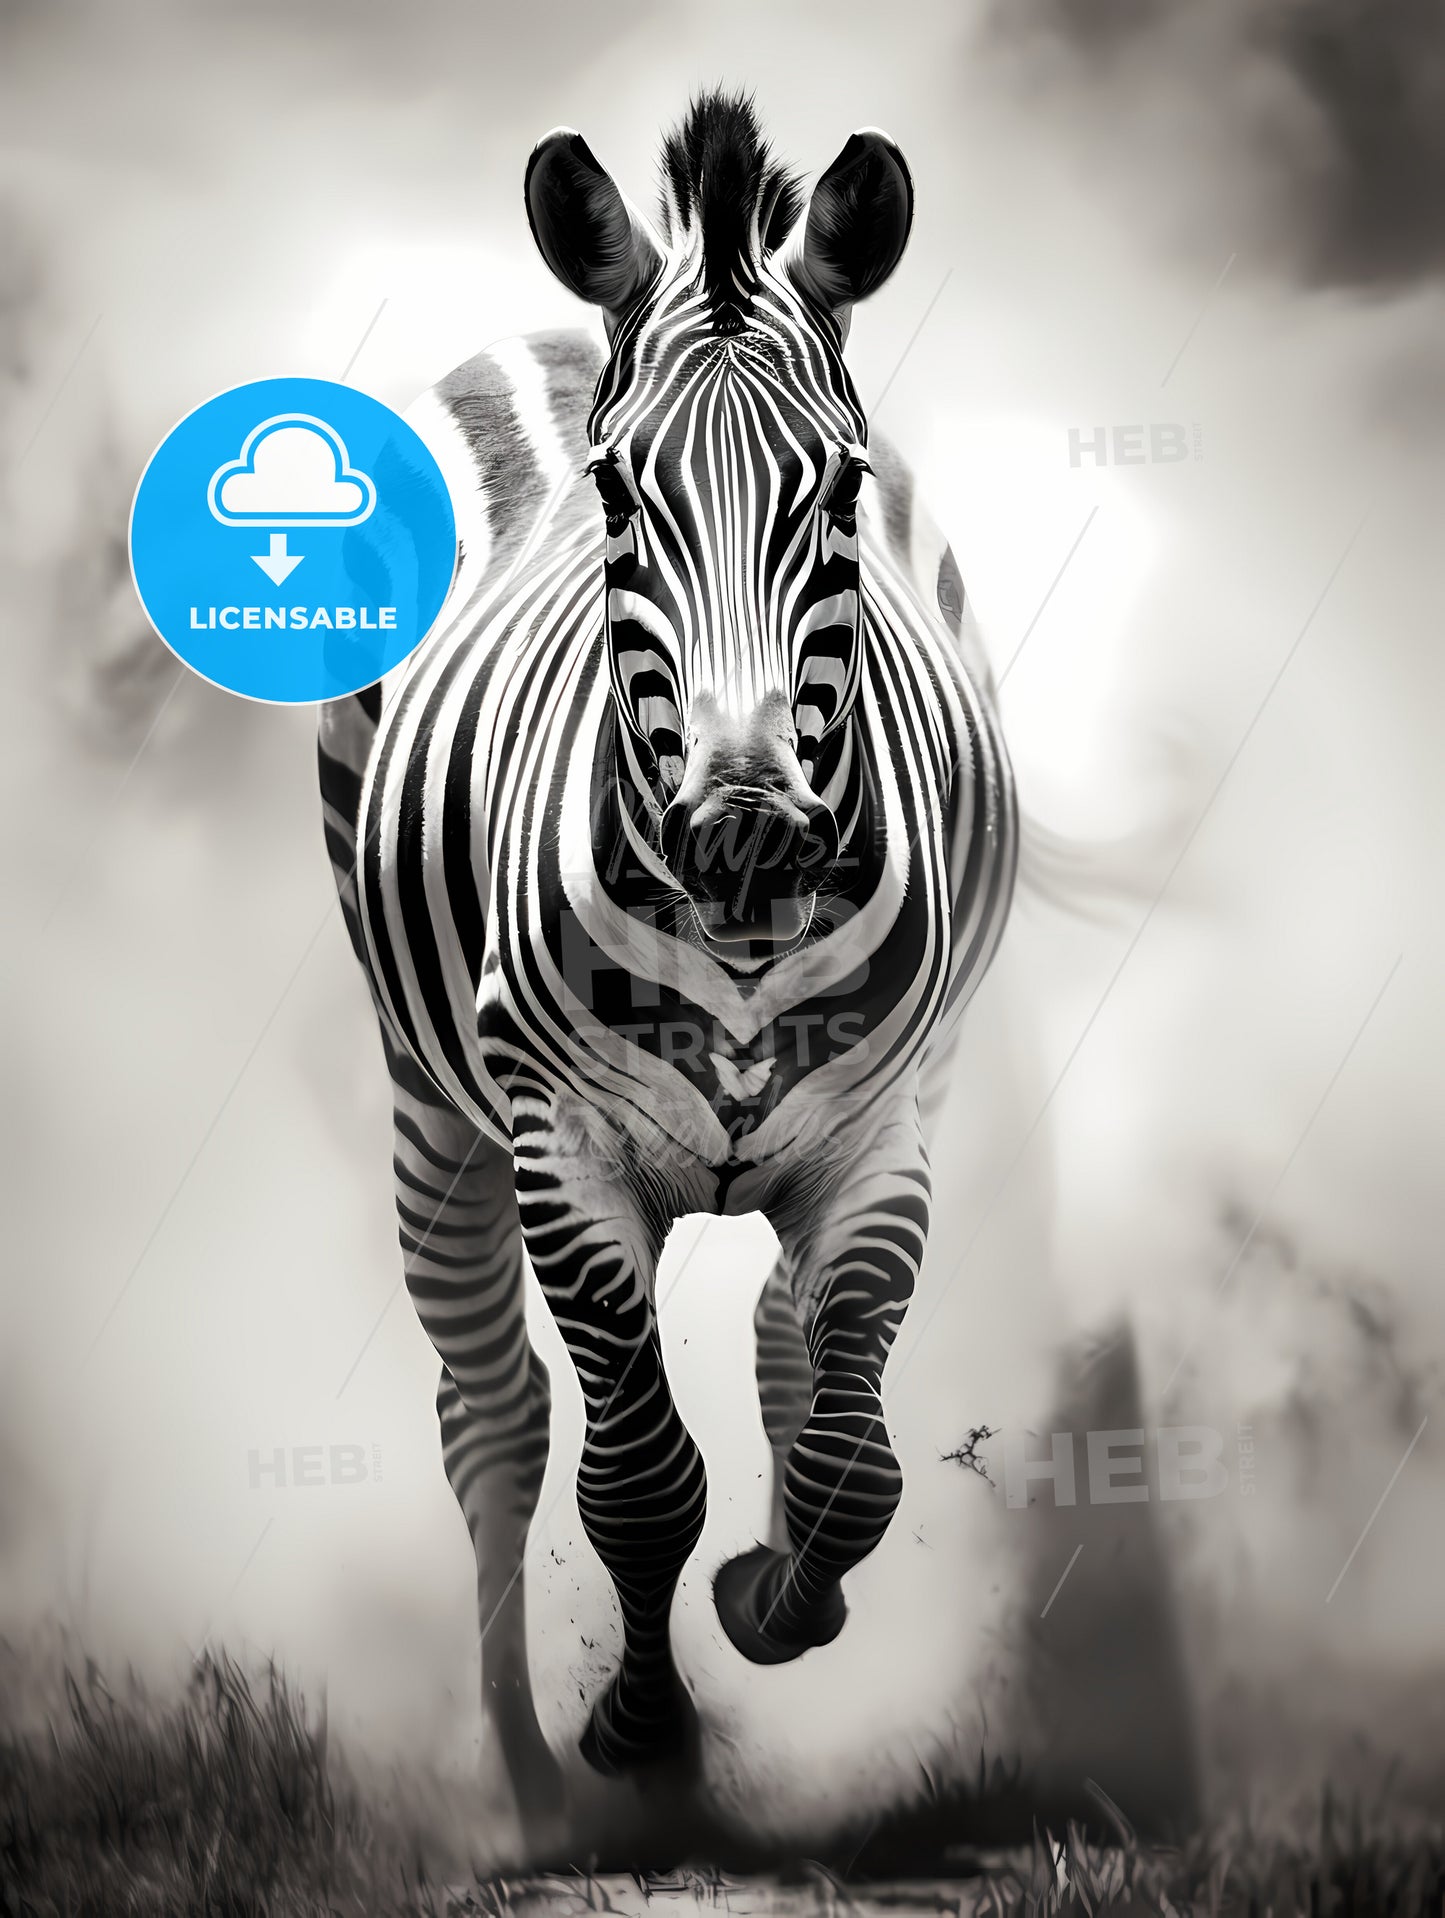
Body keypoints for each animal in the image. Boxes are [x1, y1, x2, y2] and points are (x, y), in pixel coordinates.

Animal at [317, 90, 1016, 1826]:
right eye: (622, 501)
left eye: (838, 498)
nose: (746, 833)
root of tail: (563, 321)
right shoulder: (560, 1144)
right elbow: (637, 1480)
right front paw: (640, 1733)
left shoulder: (881, 1135)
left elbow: (852, 1462)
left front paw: (770, 1599)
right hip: (429, 1096)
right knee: (493, 1418)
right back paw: (525, 1778)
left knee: (779, 1341)